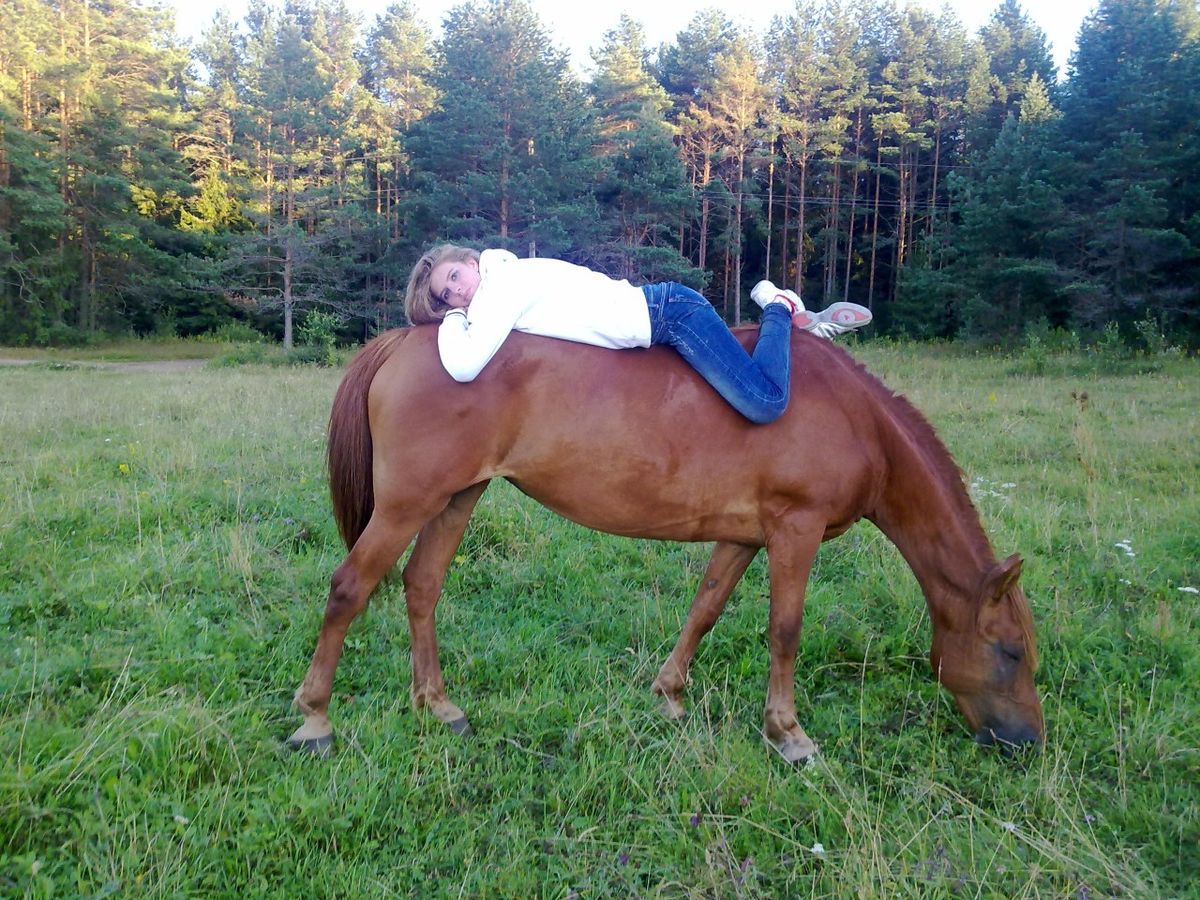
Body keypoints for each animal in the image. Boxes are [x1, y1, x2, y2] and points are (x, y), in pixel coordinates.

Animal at [287, 326, 1044, 762]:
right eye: (1010, 652)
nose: (1028, 743)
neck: (854, 416)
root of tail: (404, 339)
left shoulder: (744, 537)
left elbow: (704, 610)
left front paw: (670, 696)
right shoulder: (795, 530)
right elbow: (785, 630)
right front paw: (788, 734)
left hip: (456, 498)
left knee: (422, 586)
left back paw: (439, 707)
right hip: (409, 503)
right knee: (349, 588)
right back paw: (315, 720)